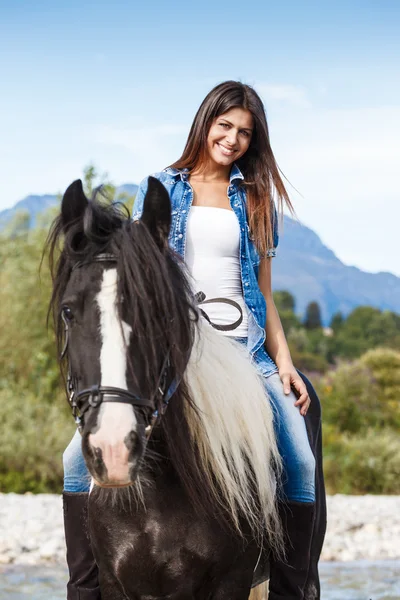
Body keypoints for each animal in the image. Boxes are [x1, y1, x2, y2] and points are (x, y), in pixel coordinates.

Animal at [47, 176, 324, 596]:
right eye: (68, 311)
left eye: (160, 312)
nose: (113, 448)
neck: (159, 491)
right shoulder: (115, 583)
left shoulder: (231, 581)